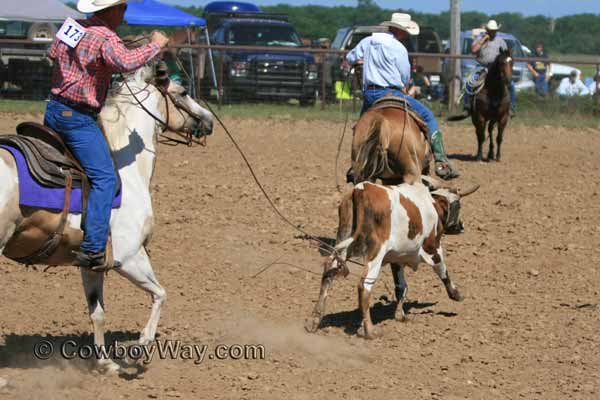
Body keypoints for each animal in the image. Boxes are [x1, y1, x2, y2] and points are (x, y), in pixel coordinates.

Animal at [308, 181, 472, 338]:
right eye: (459, 206)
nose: (462, 226)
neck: (432, 204)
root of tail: (361, 189)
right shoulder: (433, 249)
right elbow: (443, 272)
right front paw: (456, 294)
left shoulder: (396, 258)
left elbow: (401, 287)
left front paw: (400, 315)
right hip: (376, 252)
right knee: (364, 285)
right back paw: (369, 331)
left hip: (343, 242)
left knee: (328, 274)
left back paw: (314, 320)